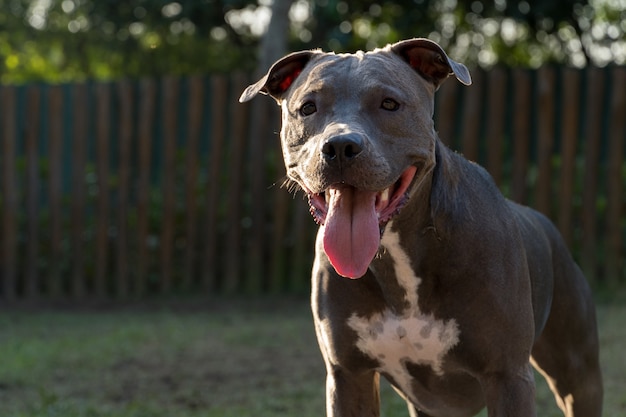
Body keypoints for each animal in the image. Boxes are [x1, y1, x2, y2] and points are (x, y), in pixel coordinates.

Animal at [239, 39, 600, 416]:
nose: (339, 146)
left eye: (389, 103)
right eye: (308, 108)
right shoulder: (349, 377)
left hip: (579, 375)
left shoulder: (507, 376)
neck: (396, 255)